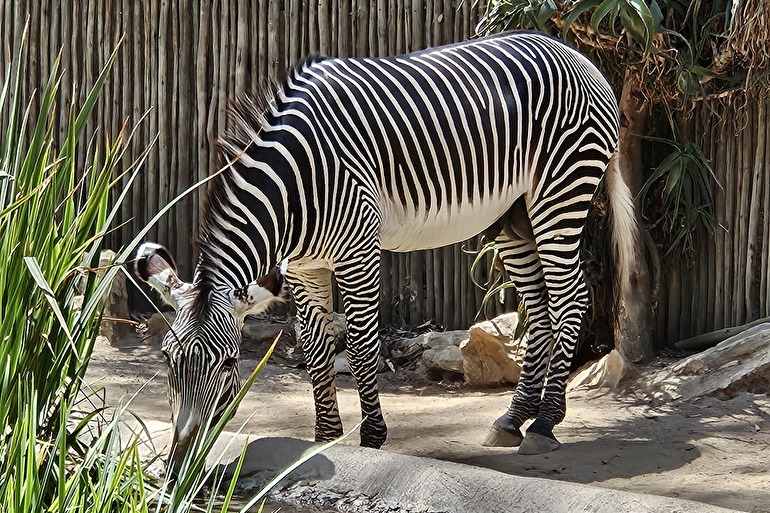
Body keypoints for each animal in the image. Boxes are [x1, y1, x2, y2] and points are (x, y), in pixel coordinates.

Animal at [135, 28, 632, 468]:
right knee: (540, 306)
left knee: (571, 299)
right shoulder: (302, 268)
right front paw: (324, 440)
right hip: (513, 212)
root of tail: (579, 55)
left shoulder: (358, 252)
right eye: (166, 358)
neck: (297, 185)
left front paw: (371, 438)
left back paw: (545, 423)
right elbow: (314, 351)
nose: (179, 464)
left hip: (561, 190)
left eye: (228, 363)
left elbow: (360, 347)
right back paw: (513, 419)